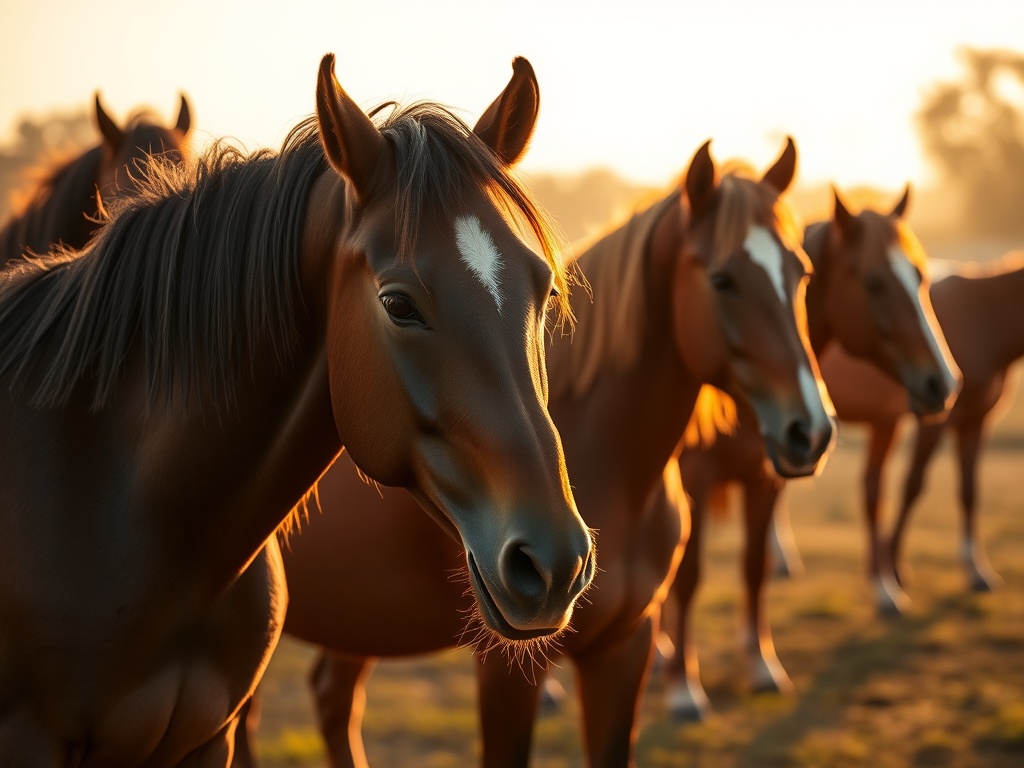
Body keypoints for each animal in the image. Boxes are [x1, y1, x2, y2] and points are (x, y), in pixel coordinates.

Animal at [234, 137, 837, 768]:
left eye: (801, 272)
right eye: (722, 280)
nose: (811, 429)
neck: (616, 472)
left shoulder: (626, 646)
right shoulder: (507, 668)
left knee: (332, 697)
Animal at [661, 187, 961, 721]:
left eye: (921, 276)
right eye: (875, 282)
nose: (943, 383)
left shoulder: (764, 478)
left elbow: (755, 566)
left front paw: (761, 666)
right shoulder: (694, 481)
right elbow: (688, 577)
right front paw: (683, 688)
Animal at [814, 251, 1024, 615]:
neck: (982, 317)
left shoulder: (976, 421)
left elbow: (969, 491)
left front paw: (976, 571)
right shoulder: (936, 421)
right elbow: (912, 486)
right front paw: (895, 571)